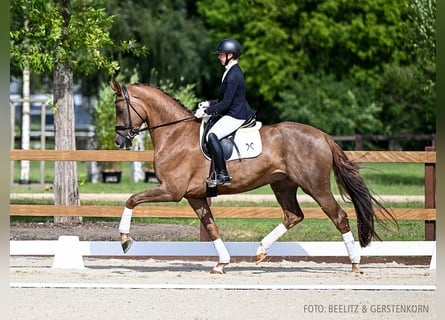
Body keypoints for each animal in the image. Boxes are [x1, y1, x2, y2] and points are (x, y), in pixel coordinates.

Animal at [110, 80, 392, 272]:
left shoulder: (171, 190)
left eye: (119, 109)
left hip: (316, 186)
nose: (119, 141)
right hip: (283, 185)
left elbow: (131, 199)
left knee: (339, 216)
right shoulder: (195, 196)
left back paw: (355, 264)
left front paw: (125, 240)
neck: (175, 134)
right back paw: (260, 250)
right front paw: (221, 264)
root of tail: (322, 135)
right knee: (293, 215)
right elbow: (211, 227)